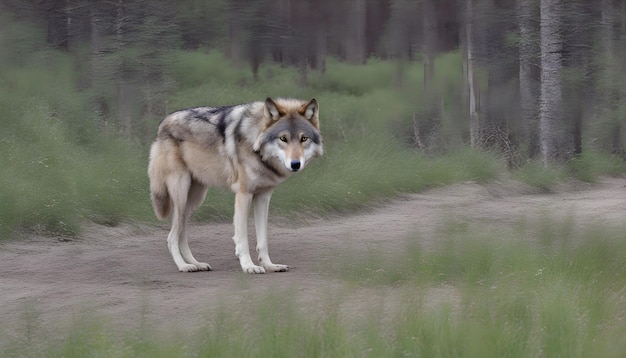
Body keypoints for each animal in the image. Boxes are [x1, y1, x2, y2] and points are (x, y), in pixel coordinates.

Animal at [147, 96, 322, 272]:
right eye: (283, 138)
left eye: (303, 139)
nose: (295, 164)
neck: (256, 145)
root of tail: (162, 123)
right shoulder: (243, 195)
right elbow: (242, 238)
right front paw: (249, 266)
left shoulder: (263, 197)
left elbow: (263, 239)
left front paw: (269, 265)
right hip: (182, 198)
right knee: (171, 237)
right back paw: (184, 266)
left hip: (193, 201)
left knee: (181, 235)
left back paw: (196, 264)